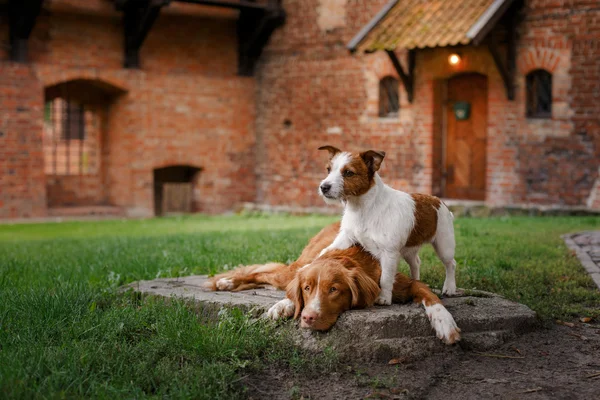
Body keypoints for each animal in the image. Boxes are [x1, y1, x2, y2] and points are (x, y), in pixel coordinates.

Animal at [204, 222, 462, 344]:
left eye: (334, 290)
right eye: (307, 288)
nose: (308, 318)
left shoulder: (404, 285)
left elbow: (430, 296)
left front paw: (445, 323)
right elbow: (291, 294)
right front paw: (284, 305)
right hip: (295, 268)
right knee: (262, 272)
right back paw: (227, 282)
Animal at [316, 145, 458, 304]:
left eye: (348, 173)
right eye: (328, 169)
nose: (323, 187)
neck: (362, 208)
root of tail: (438, 200)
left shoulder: (389, 253)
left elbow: (385, 278)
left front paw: (384, 297)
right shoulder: (346, 238)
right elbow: (326, 250)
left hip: (444, 245)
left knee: (451, 264)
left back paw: (449, 288)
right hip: (409, 249)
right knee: (416, 262)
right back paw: (416, 282)